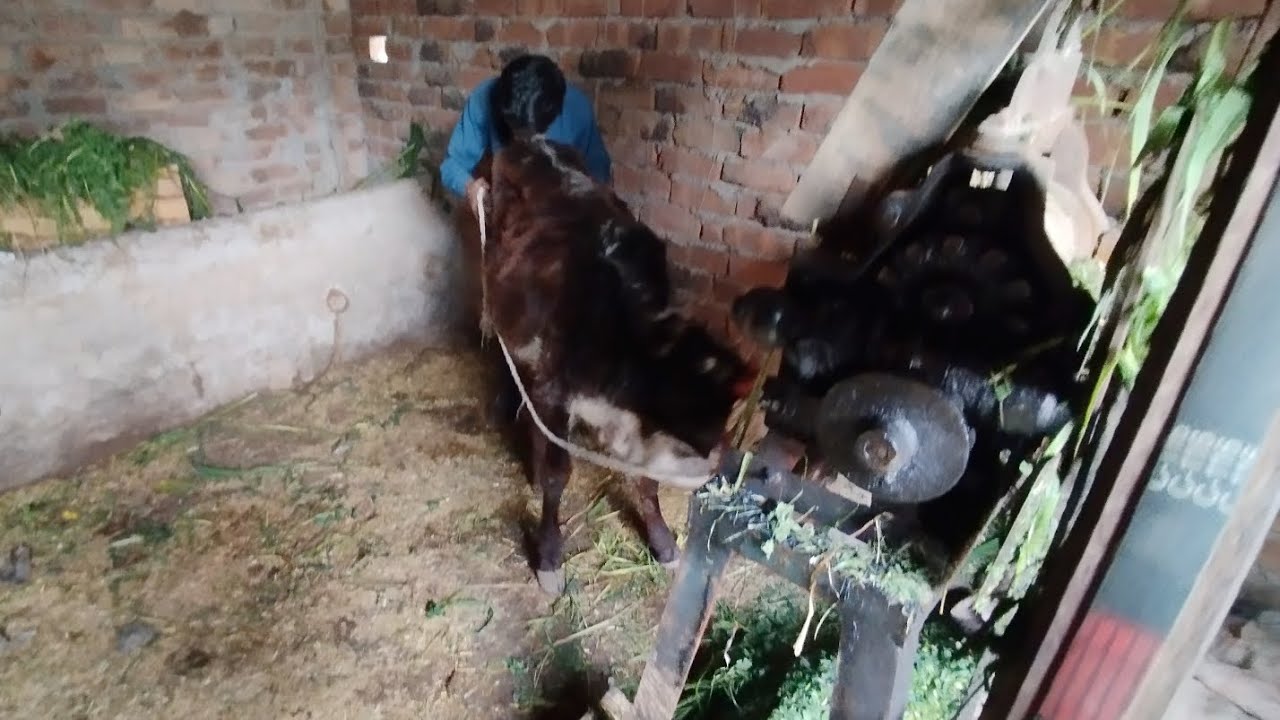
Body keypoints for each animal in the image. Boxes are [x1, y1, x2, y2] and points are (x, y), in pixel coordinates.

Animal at [465, 134, 758, 594]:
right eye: (699, 419)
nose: (713, 463)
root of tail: (528, 140)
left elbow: (646, 481)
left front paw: (663, 543)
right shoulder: (556, 390)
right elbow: (558, 474)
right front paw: (549, 556)